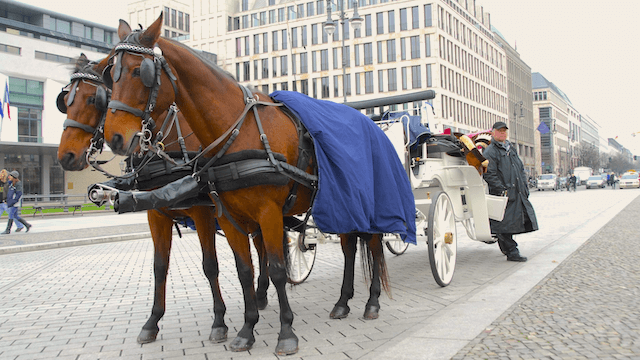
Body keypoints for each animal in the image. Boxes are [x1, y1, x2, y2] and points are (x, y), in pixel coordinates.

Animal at [55, 54, 272, 344]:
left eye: (93, 100)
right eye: (65, 101)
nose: (65, 156)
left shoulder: (203, 214)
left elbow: (210, 265)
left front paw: (219, 321)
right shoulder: (156, 214)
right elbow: (159, 266)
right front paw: (152, 321)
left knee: (263, 248)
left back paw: (263, 292)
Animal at [101, 16, 390, 354]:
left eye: (140, 72)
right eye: (112, 74)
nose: (114, 137)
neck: (239, 130)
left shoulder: (266, 213)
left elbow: (276, 269)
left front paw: (286, 332)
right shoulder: (226, 217)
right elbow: (243, 271)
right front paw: (246, 329)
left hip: (364, 202)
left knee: (372, 243)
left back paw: (372, 302)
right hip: (341, 203)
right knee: (348, 247)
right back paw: (343, 302)